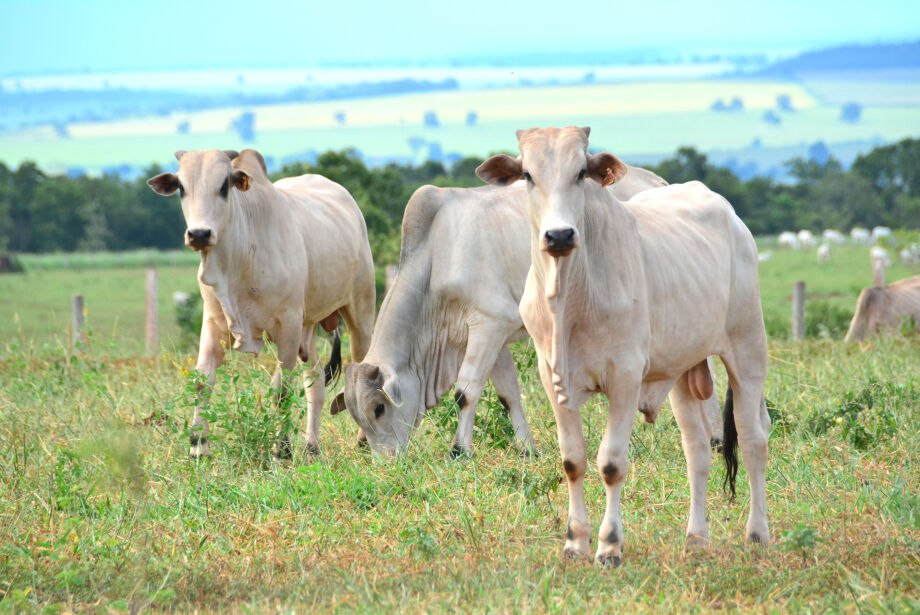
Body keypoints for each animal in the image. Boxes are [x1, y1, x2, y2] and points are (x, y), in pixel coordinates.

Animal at [474, 126, 768, 568]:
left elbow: (611, 464)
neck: (571, 299)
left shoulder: (626, 378)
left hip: (747, 348)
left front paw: (609, 545)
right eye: (527, 175)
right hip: (683, 371)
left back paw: (757, 534)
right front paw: (574, 543)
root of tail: (731, 216)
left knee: (752, 439)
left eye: (581, 173)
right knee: (697, 450)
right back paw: (696, 538)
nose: (559, 235)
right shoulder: (552, 378)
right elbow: (573, 461)